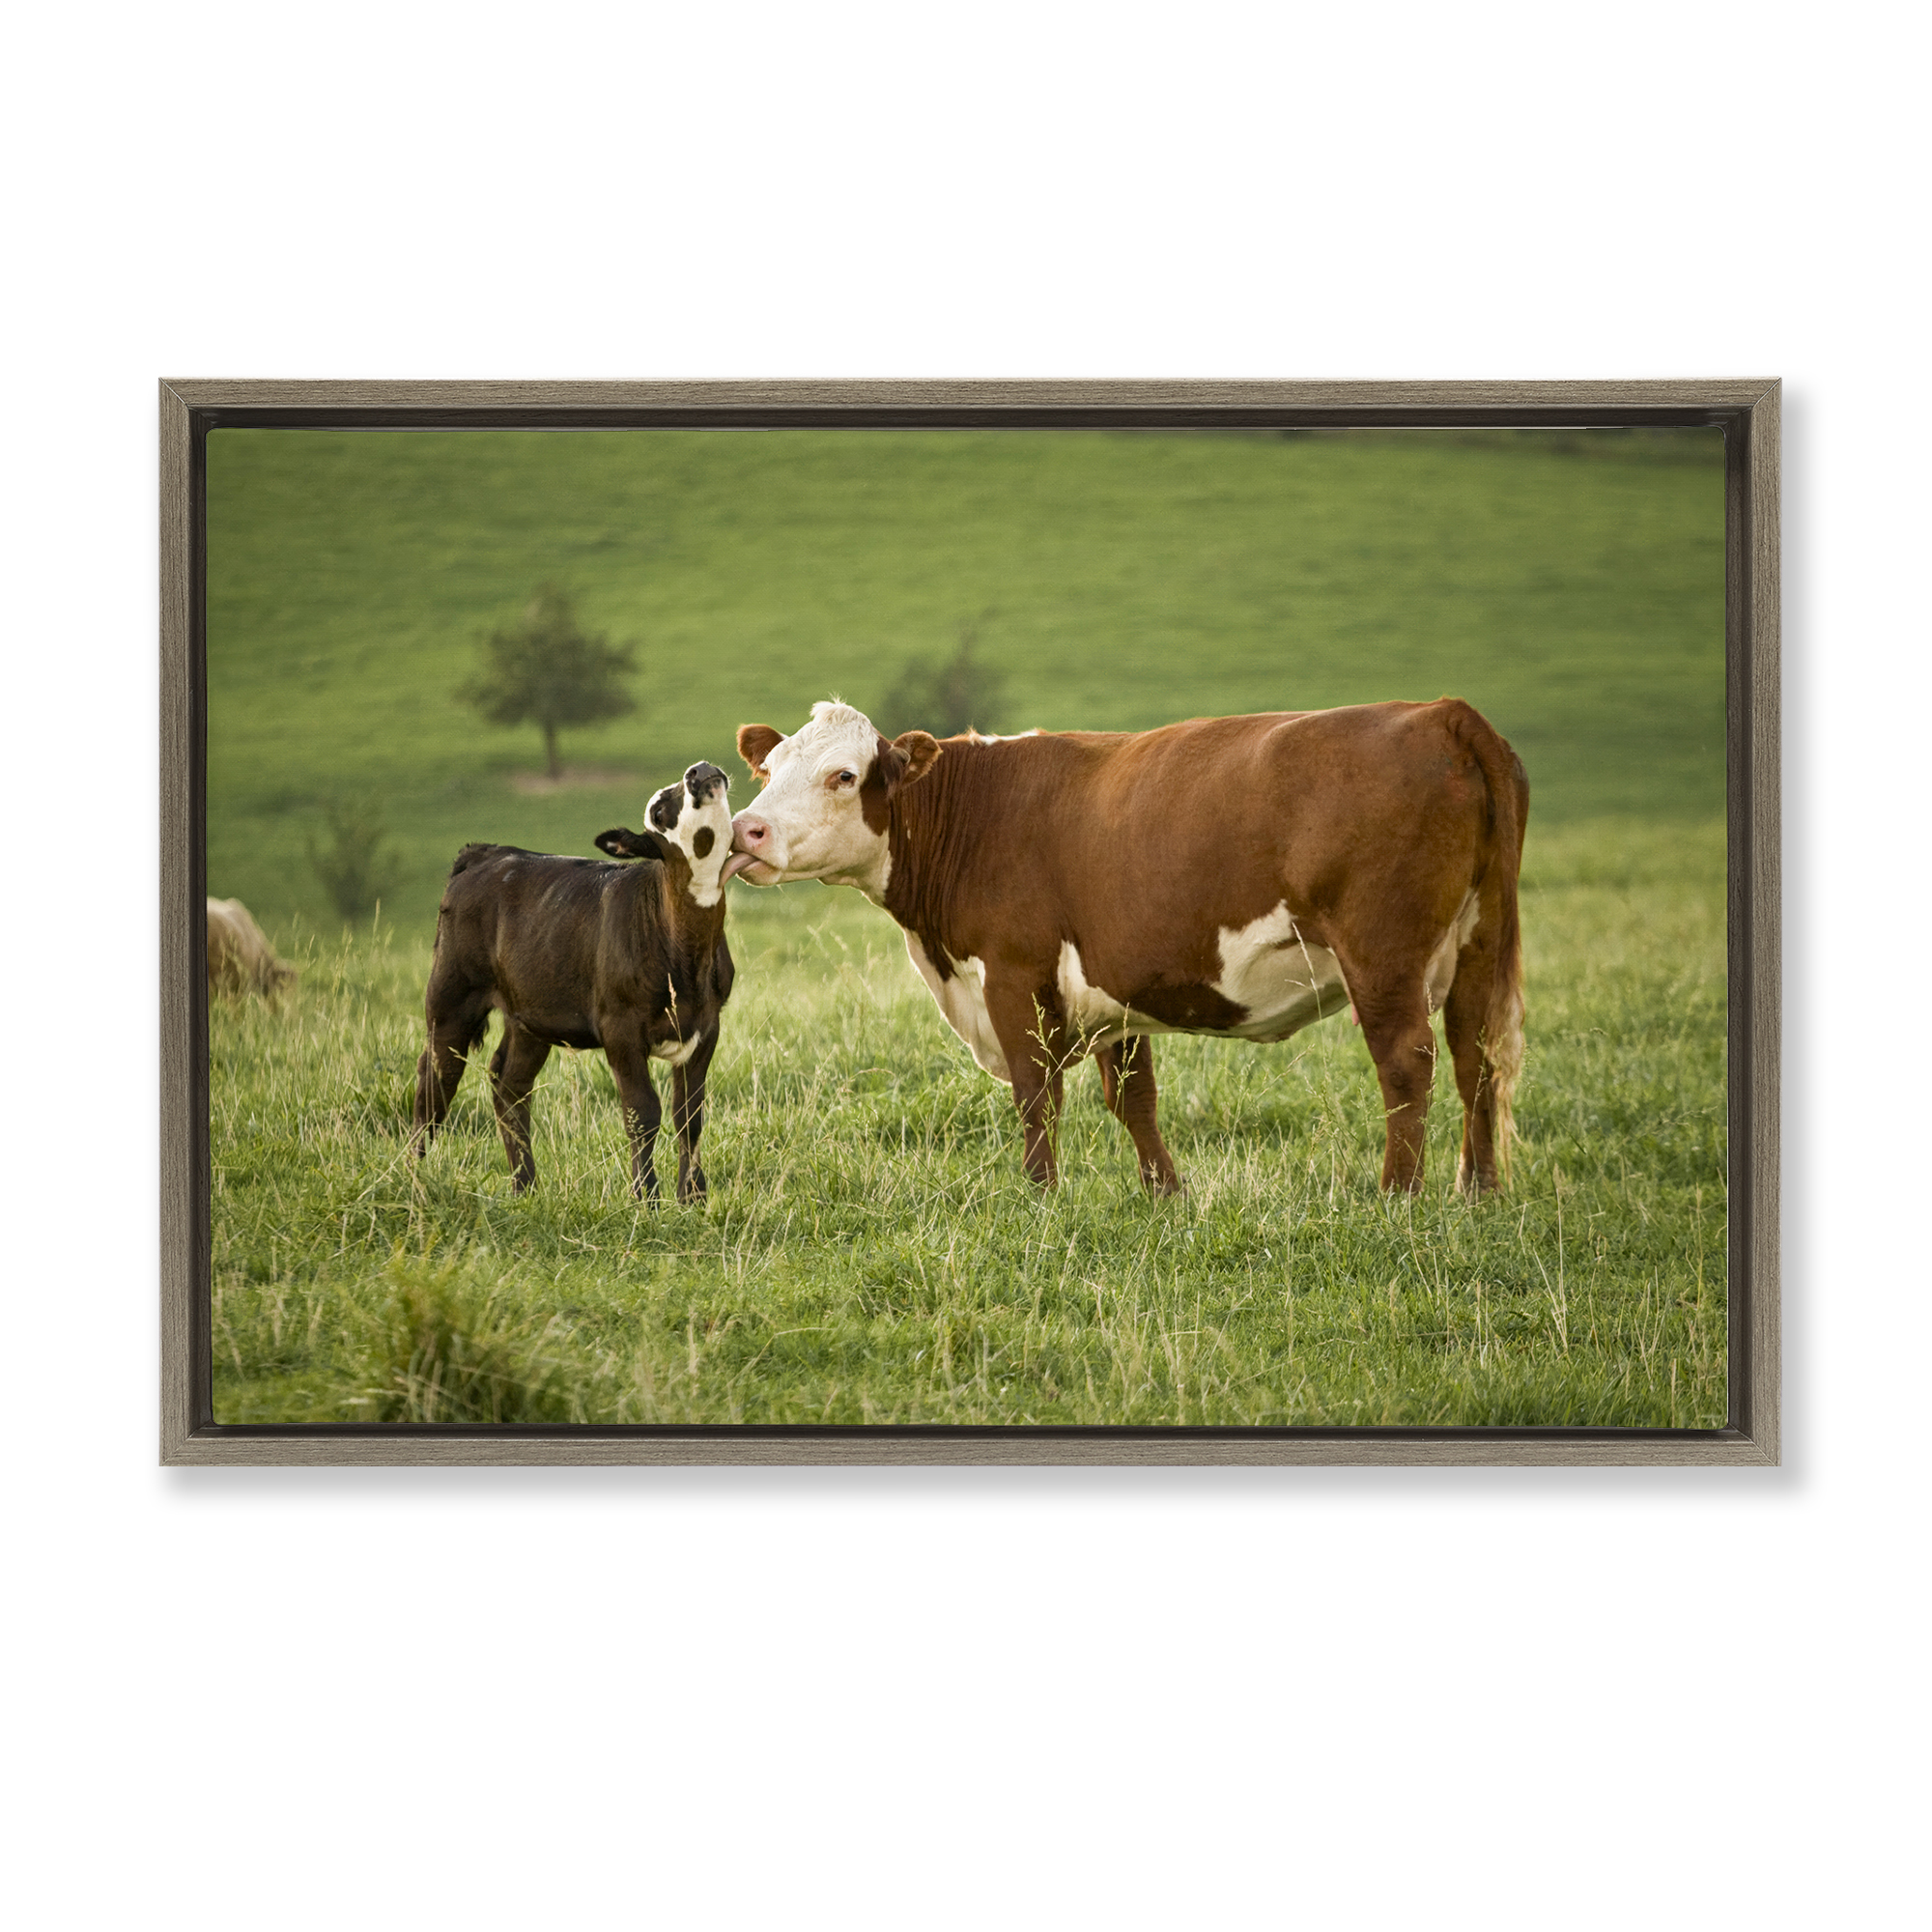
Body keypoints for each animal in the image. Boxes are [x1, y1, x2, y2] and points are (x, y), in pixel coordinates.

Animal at [410, 761, 754, 1202]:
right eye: (659, 811)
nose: (699, 770)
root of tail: (488, 852)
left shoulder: (707, 1024)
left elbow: (689, 1115)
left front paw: (693, 1197)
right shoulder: (619, 1027)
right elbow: (642, 1111)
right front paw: (647, 1197)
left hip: (530, 1016)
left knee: (509, 1086)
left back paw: (526, 1186)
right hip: (451, 996)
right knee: (435, 1081)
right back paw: (413, 1175)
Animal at [727, 700, 1526, 1198]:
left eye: (844, 775)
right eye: (769, 771)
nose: (745, 831)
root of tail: (1443, 712)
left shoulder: (1014, 976)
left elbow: (1036, 1094)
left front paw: (1042, 1194)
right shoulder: (1115, 988)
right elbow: (1134, 1098)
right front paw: (1165, 1194)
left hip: (1382, 954)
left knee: (1407, 1063)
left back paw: (1399, 1194)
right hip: (1478, 943)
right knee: (1476, 1056)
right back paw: (1479, 1190)